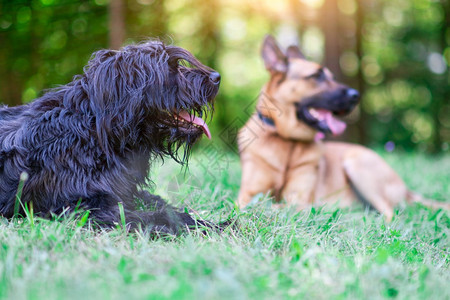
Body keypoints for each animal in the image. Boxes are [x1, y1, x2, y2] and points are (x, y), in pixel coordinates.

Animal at [0, 39, 221, 234]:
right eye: (169, 69)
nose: (217, 77)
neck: (94, 133)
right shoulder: (83, 208)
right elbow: (157, 216)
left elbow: (160, 203)